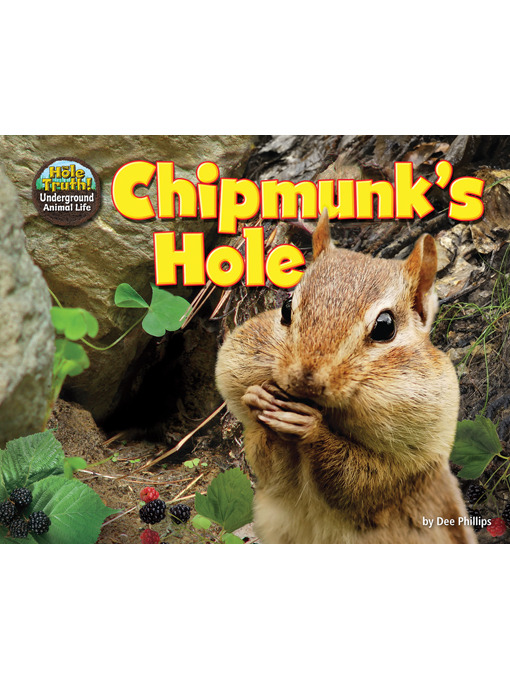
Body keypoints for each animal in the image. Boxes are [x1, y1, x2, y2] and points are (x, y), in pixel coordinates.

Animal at [215, 210, 476, 543]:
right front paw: (257, 399)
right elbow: (266, 466)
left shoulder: (407, 466)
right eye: (286, 307)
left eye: (385, 327)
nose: (304, 380)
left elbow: (360, 482)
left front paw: (310, 428)